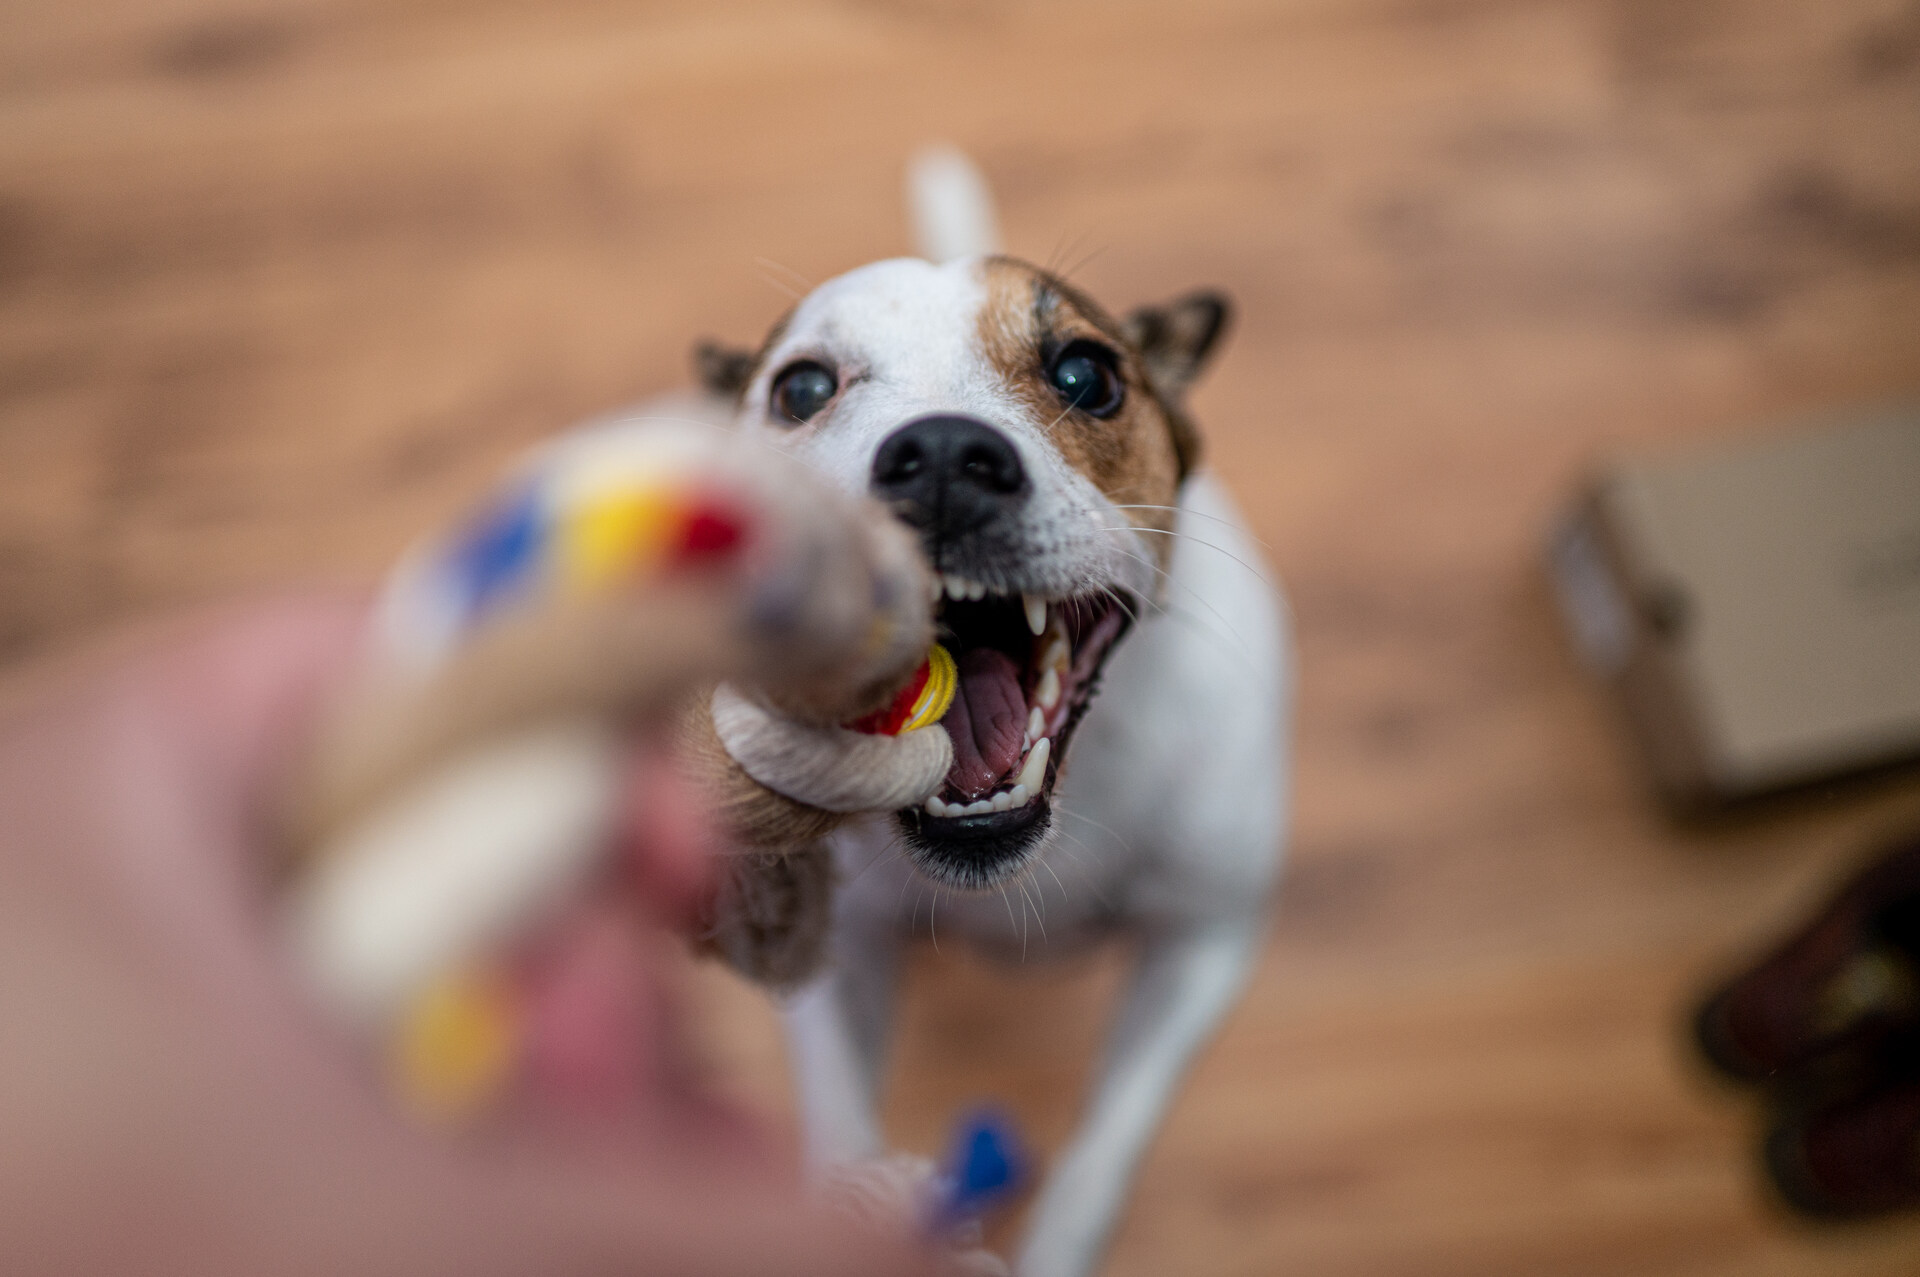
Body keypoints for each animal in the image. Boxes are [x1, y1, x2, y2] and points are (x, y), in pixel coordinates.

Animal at [691, 162, 1290, 1275]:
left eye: (1087, 375)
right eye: (801, 389)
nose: (936, 458)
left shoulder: (1203, 941)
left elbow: (1101, 1152)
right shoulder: (829, 953)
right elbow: (842, 1129)